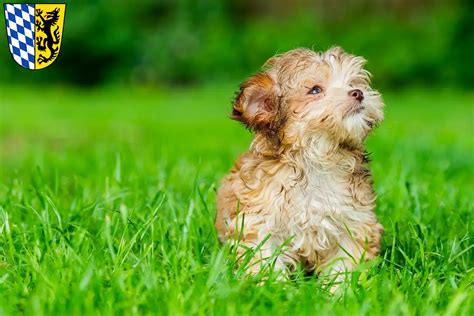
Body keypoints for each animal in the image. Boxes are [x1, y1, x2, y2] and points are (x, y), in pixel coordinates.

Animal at [217, 47, 384, 282]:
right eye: (315, 90)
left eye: (353, 83)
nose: (358, 92)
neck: (317, 157)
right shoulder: (261, 221)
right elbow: (265, 259)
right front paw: (272, 287)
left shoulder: (353, 221)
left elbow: (345, 262)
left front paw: (340, 288)